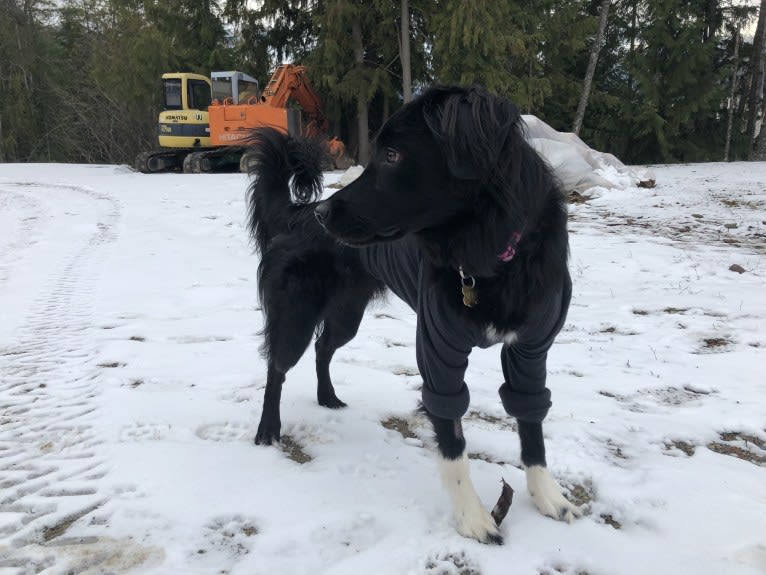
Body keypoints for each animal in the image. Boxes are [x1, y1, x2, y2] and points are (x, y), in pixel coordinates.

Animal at [246, 85, 584, 544]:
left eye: (392, 155)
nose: (323, 213)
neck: (487, 253)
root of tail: (297, 213)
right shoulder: (438, 348)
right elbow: (453, 442)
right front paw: (473, 518)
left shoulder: (531, 350)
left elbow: (532, 426)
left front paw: (549, 497)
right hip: (296, 314)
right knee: (276, 367)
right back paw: (268, 428)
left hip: (347, 313)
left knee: (323, 348)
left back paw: (328, 397)